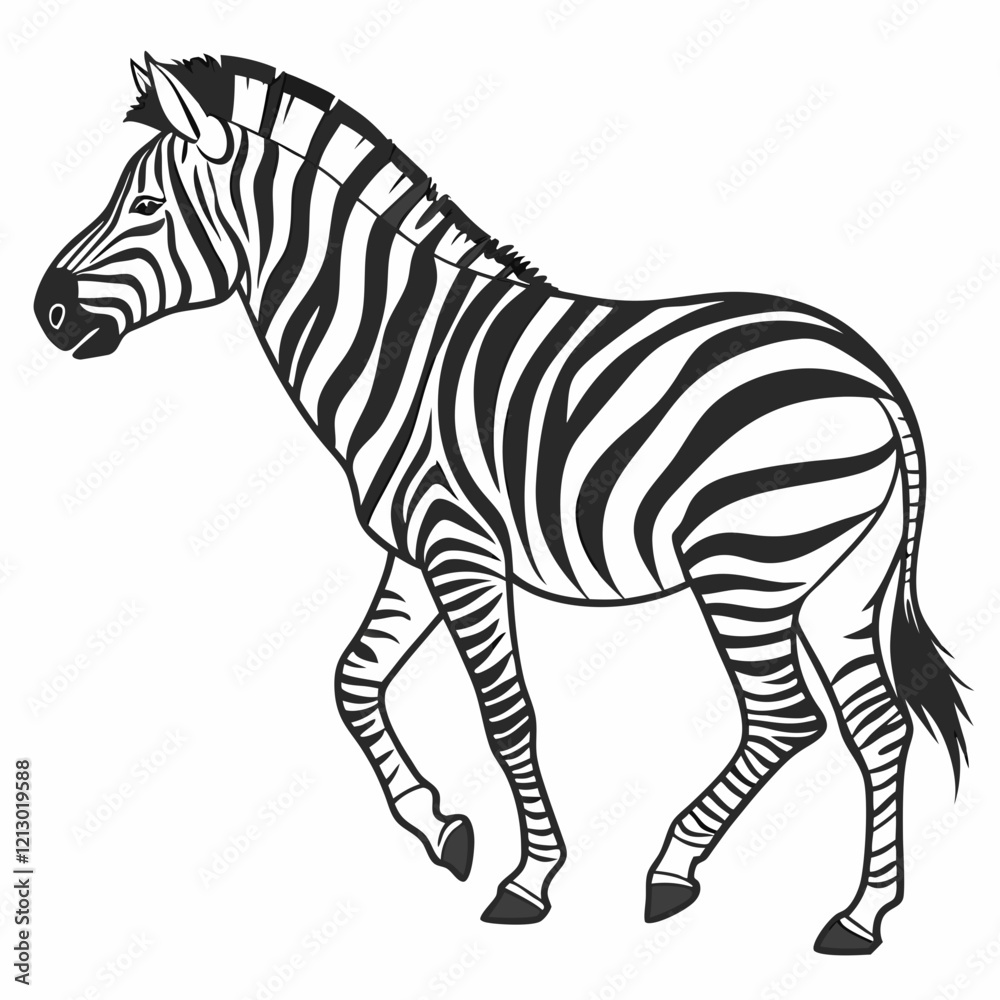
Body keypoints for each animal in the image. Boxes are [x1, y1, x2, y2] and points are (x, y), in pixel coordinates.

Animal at [34, 54, 970, 954]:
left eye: (146, 205)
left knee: (787, 719)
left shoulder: (461, 548)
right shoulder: (414, 550)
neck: (395, 341)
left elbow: (505, 717)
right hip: (841, 578)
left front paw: (528, 880)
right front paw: (442, 829)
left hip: (746, 567)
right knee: (877, 726)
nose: (47, 312)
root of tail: (872, 374)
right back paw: (860, 917)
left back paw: (675, 869)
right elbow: (353, 680)